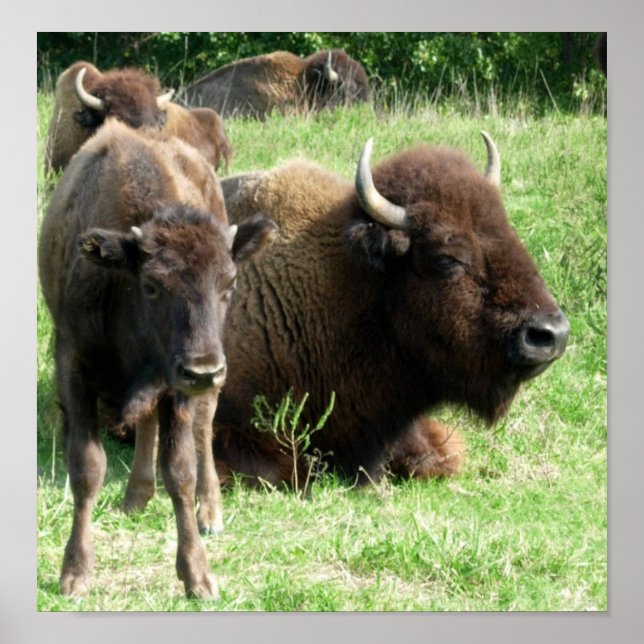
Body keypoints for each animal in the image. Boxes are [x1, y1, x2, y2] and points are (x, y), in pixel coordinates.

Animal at [38, 119, 276, 598]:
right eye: (151, 284)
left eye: (229, 282)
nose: (204, 370)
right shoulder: (74, 367)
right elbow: (87, 467)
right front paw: (75, 572)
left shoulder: (178, 386)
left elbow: (181, 471)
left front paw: (198, 577)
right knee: (147, 425)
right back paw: (136, 497)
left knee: (203, 427)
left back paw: (210, 512)